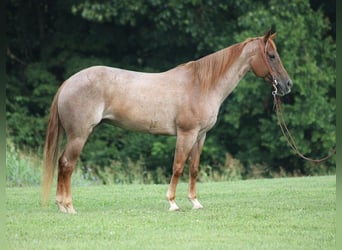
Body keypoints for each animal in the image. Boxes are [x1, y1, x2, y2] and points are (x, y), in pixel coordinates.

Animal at [42, 29, 292, 213]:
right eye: (271, 55)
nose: (287, 85)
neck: (202, 84)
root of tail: (68, 82)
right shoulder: (186, 134)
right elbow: (178, 167)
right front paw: (172, 203)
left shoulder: (200, 136)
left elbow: (193, 169)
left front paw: (195, 202)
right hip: (79, 135)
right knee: (67, 164)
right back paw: (68, 206)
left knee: (63, 164)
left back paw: (62, 206)